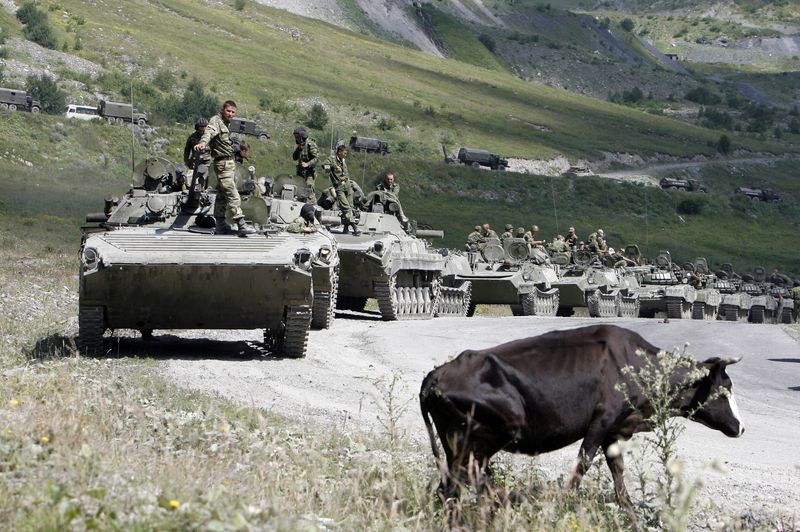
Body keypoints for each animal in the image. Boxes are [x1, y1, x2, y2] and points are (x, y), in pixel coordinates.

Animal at [418, 324, 744, 520]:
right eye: (725, 389)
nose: (740, 427)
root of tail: (435, 375)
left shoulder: (614, 431)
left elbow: (618, 473)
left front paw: (630, 515)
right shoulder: (602, 421)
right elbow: (582, 465)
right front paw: (564, 506)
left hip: (456, 441)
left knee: (452, 485)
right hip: (494, 431)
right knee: (469, 476)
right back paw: (503, 504)